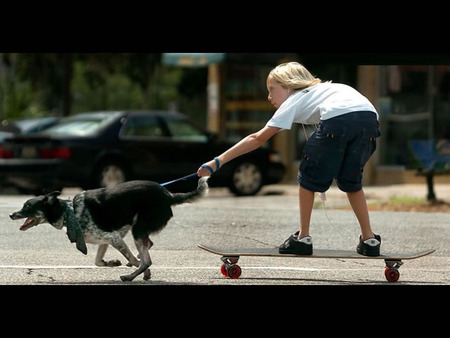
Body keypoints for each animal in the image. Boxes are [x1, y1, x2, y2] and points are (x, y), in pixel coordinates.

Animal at [8, 176, 209, 282]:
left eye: (27, 206)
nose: (10, 214)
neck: (69, 211)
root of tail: (168, 195)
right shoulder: (106, 240)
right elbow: (98, 261)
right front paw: (112, 262)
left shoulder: (113, 237)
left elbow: (134, 260)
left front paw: (135, 266)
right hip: (139, 230)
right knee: (148, 246)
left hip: (138, 230)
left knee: (146, 260)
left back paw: (130, 276)